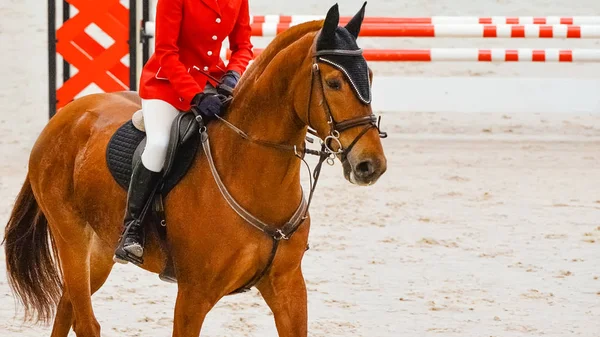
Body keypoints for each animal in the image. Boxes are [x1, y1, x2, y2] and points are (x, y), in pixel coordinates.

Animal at [2, 3, 386, 336]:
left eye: (369, 75)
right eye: (334, 83)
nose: (371, 165)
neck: (250, 172)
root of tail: (64, 117)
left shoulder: (289, 286)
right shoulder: (194, 294)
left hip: (98, 251)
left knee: (66, 306)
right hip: (71, 239)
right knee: (84, 321)